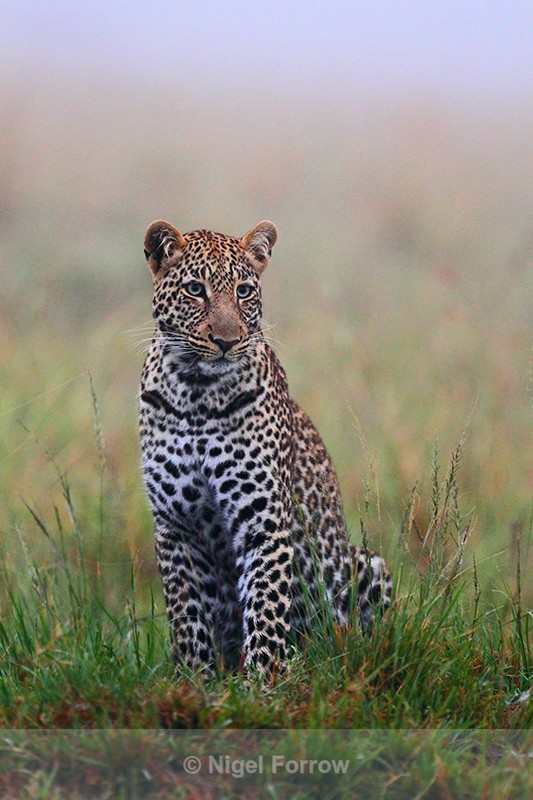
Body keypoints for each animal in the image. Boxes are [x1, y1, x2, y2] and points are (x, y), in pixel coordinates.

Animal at [139, 218, 392, 679]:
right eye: (195, 289)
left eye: (243, 291)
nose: (226, 340)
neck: (196, 393)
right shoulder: (174, 524)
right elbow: (186, 614)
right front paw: (194, 680)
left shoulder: (263, 519)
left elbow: (266, 604)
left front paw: (263, 681)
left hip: (364, 563)